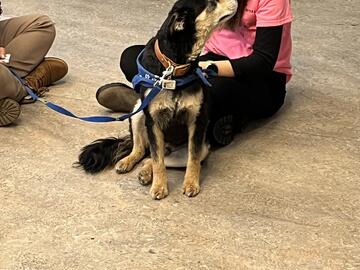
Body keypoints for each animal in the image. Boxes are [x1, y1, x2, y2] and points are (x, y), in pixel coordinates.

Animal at [77, 0, 238, 198]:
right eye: (212, 3)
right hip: (137, 113)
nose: (236, 1)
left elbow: (192, 159)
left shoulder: (197, 120)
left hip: (198, 149)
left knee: (153, 158)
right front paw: (159, 186)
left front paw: (191, 184)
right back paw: (128, 162)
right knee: (143, 151)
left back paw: (145, 172)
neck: (174, 69)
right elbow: (157, 160)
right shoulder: (153, 121)